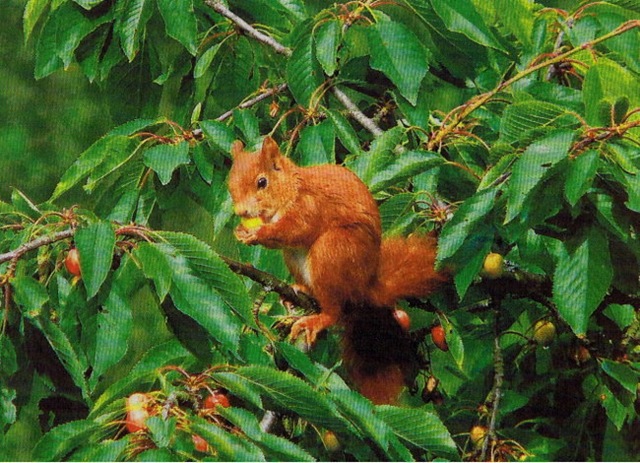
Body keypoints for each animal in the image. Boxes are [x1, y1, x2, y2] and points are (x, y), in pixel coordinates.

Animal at [228, 136, 447, 404]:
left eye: (262, 182)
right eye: (230, 183)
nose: (241, 212)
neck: (291, 189)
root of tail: (365, 285)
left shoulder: (309, 207)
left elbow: (296, 230)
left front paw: (258, 233)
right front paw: (241, 231)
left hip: (332, 251)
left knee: (333, 309)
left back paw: (318, 319)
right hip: (295, 258)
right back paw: (300, 290)